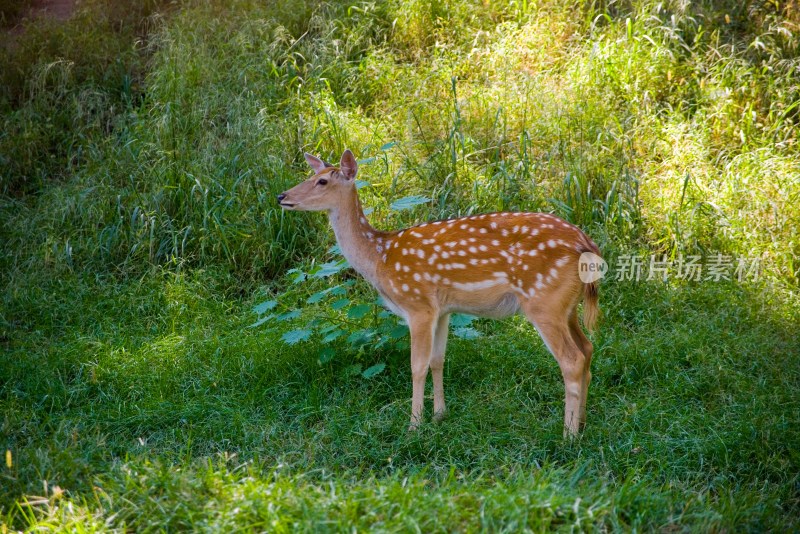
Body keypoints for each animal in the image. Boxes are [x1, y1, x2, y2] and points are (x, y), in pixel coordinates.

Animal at [280, 150, 600, 436]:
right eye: (310, 175)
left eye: (323, 181)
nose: (282, 196)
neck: (379, 258)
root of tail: (586, 245)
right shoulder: (444, 310)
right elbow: (438, 360)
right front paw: (439, 416)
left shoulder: (418, 305)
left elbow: (417, 365)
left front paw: (413, 426)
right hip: (565, 306)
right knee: (587, 349)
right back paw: (583, 423)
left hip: (543, 300)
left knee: (571, 359)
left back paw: (568, 435)